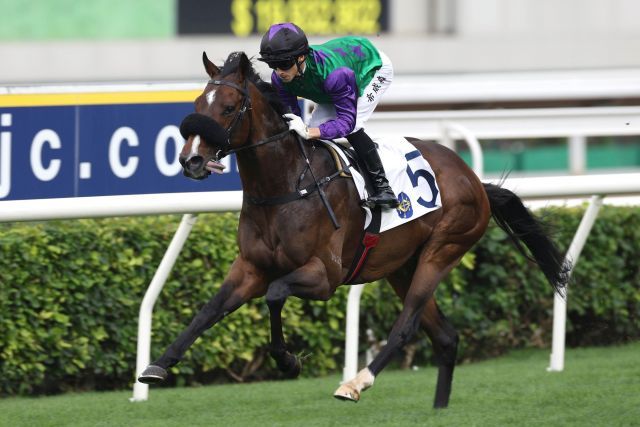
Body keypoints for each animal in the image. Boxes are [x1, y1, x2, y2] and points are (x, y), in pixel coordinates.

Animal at [139, 50, 568, 408]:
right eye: (197, 105)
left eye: (228, 108)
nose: (191, 160)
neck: (287, 186)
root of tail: (475, 179)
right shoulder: (250, 268)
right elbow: (209, 309)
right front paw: (158, 365)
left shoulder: (324, 275)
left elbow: (275, 294)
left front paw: (288, 360)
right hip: (402, 266)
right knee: (446, 337)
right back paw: (438, 408)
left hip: (443, 250)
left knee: (407, 324)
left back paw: (356, 382)